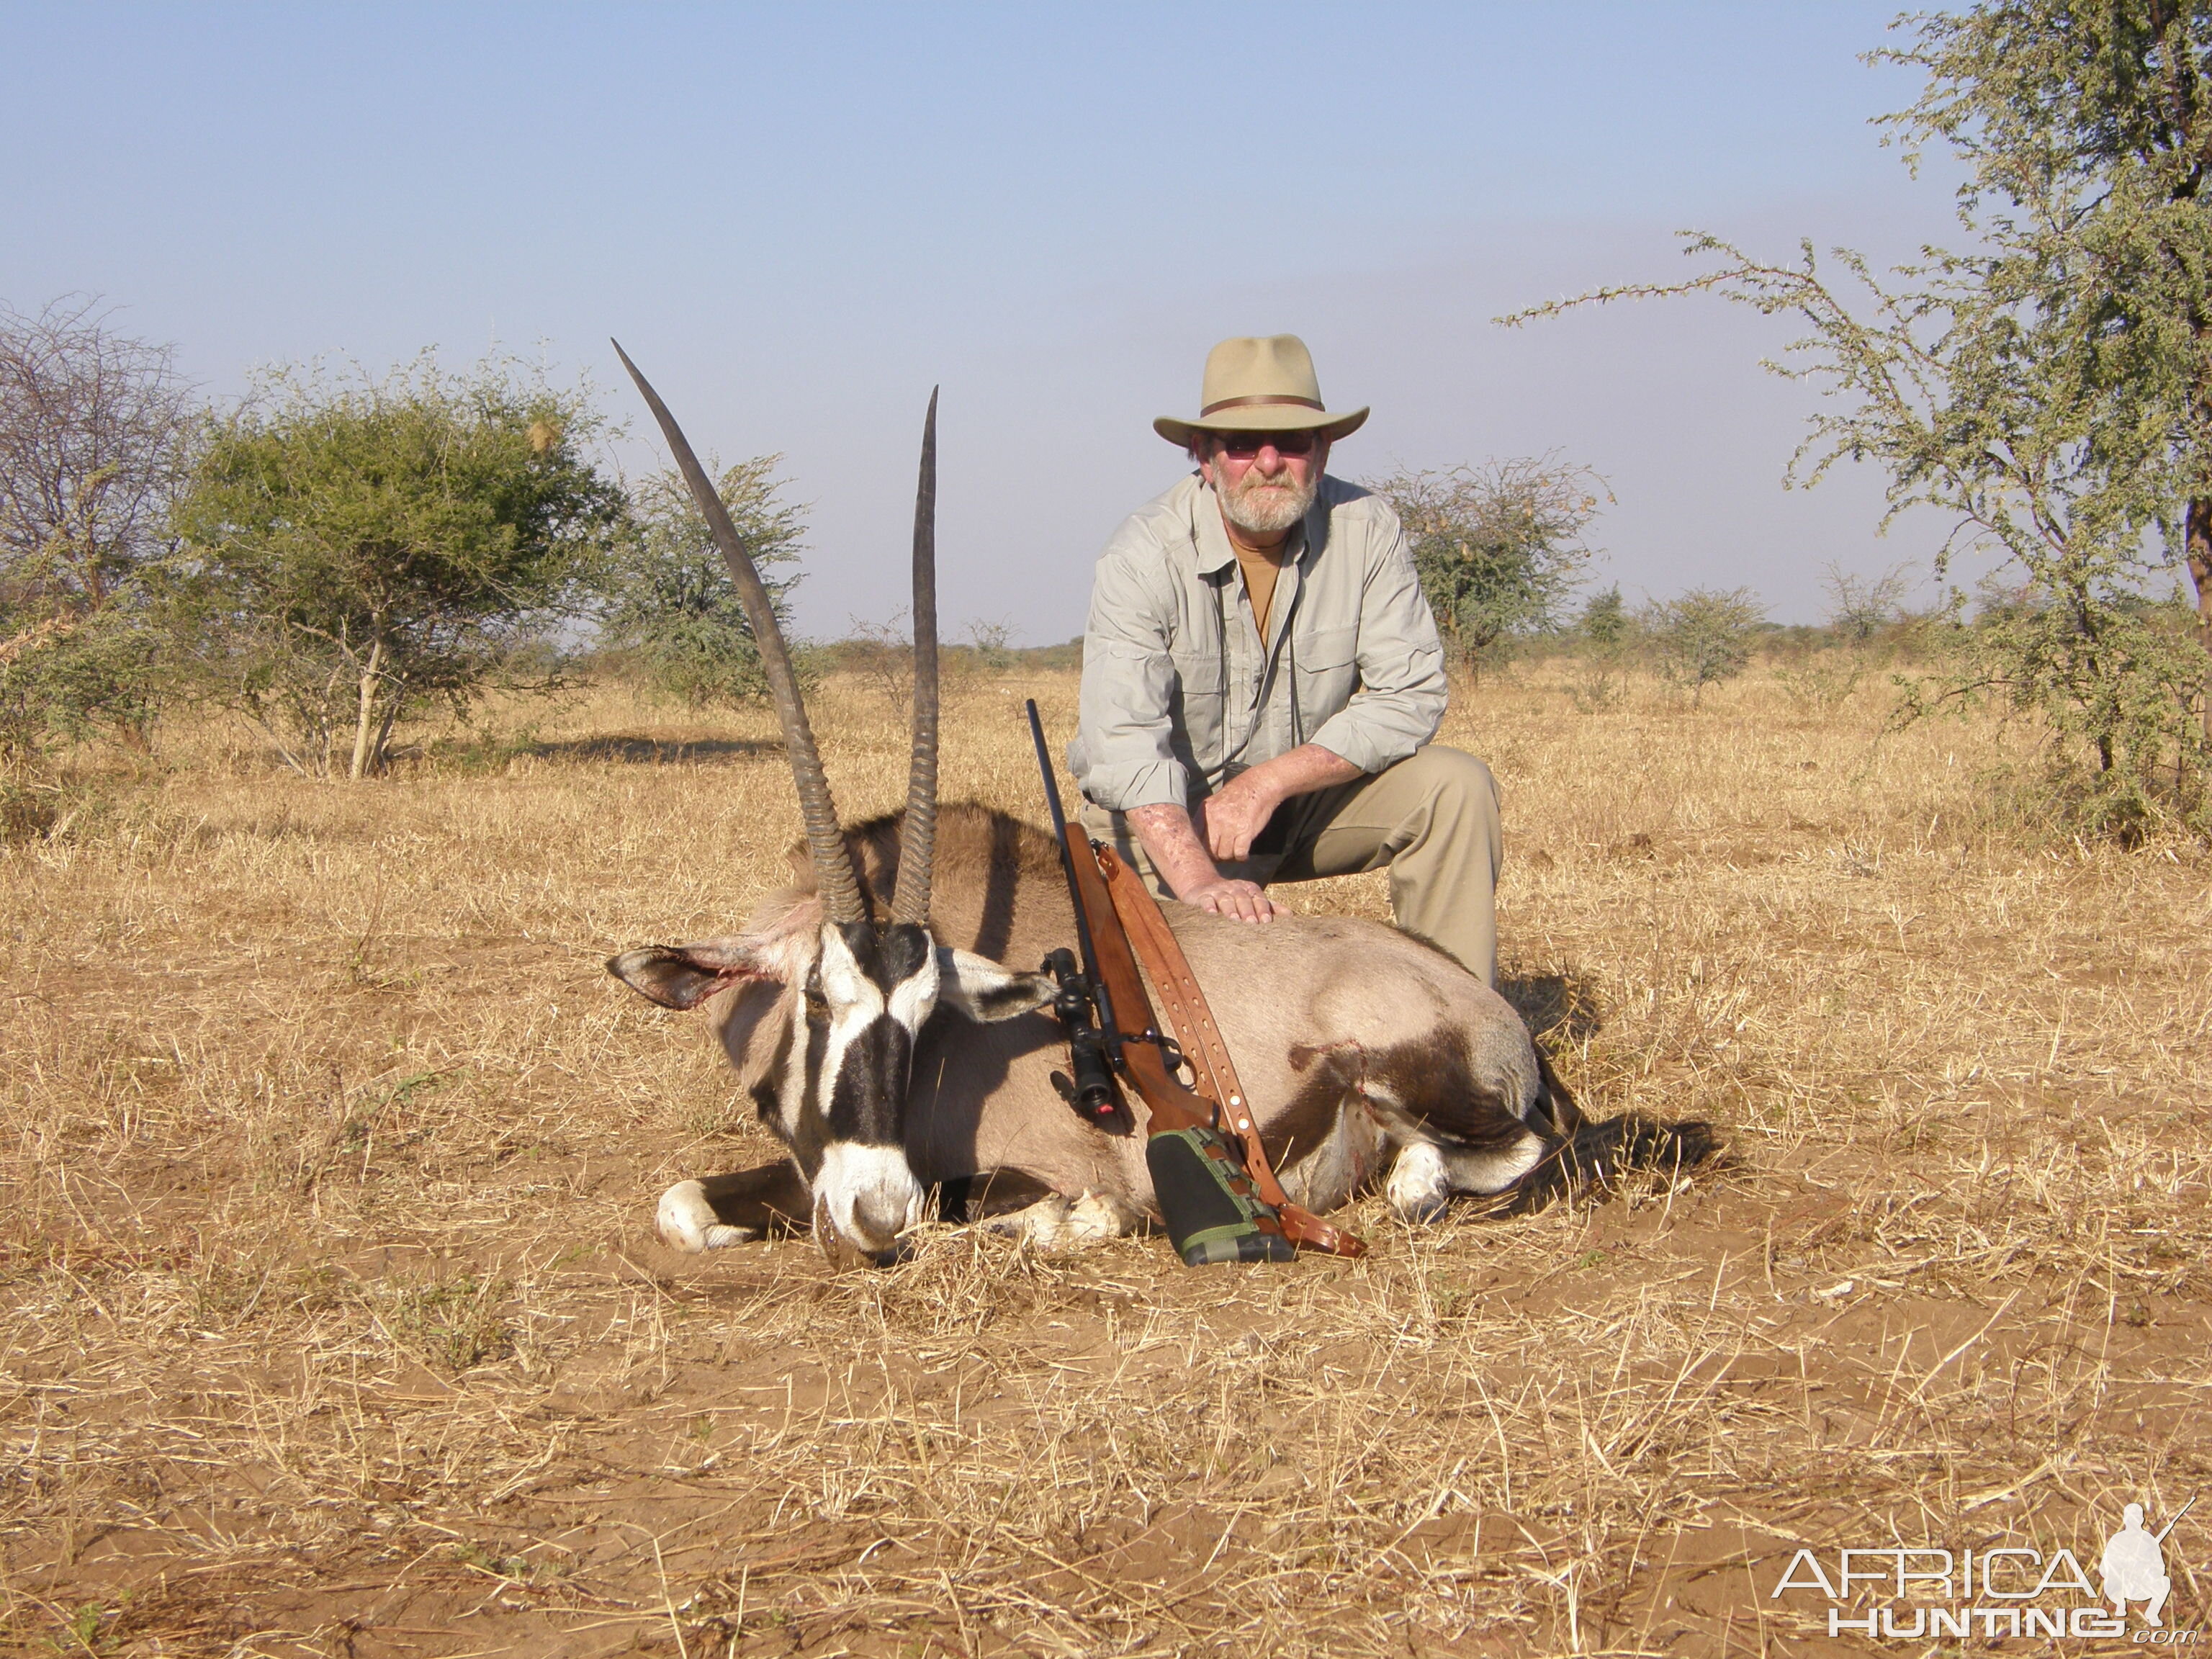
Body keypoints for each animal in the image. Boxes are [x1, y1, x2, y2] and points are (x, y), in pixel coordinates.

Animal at [606, 351, 1707, 1256]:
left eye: (925, 1015)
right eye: (817, 999)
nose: (876, 1218)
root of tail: (1492, 1010)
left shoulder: (1031, 1168)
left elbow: (1058, 1210)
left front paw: (1055, 1223)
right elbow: (679, 1203)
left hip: (1399, 1075)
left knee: (1494, 1162)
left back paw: (1406, 1189)